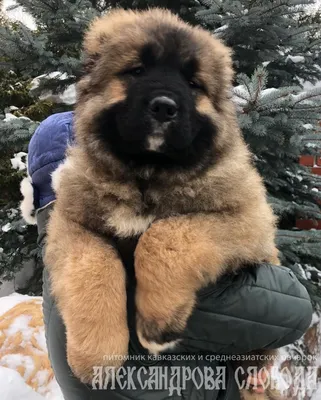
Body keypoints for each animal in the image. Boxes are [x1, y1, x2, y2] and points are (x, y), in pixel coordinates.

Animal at [45, 7, 280, 398]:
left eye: (193, 84)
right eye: (137, 70)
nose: (164, 108)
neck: (147, 175)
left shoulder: (248, 221)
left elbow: (164, 235)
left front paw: (158, 323)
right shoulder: (71, 223)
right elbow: (94, 266)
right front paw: (96, 355)